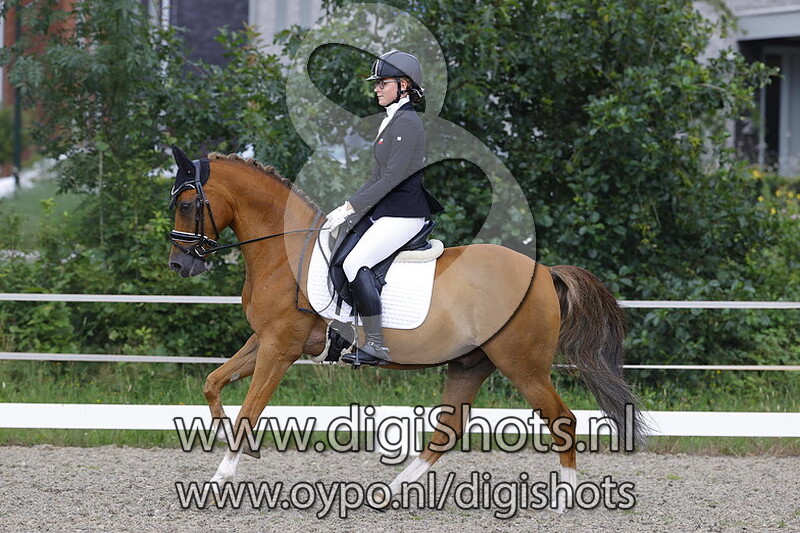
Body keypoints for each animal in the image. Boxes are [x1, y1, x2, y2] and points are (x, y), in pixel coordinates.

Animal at [167, 147, 647, 513]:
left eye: (188, 205)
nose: (179, 266)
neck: (286, 252)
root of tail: (543, 271)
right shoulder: (264, 341)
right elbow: (213, 383)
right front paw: (239, 448)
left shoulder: (280, 347)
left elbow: (249, 410)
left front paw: (218, 480)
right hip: (471, 363)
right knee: (449, 428)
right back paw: (389, 491)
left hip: (522, 365)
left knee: (561, 419)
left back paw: (563, 501)